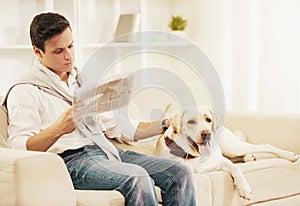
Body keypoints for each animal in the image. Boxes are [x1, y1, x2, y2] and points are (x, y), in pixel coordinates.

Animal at [156, 107, 298, 200]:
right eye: (191, 121)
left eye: (208, 120)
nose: (207, 133)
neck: (194, 157)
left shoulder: (221, 161)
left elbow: (236, 169)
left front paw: (244, 188)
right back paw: (248, 157)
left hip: (232, 147)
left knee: (263, 145)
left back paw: (289, 155)